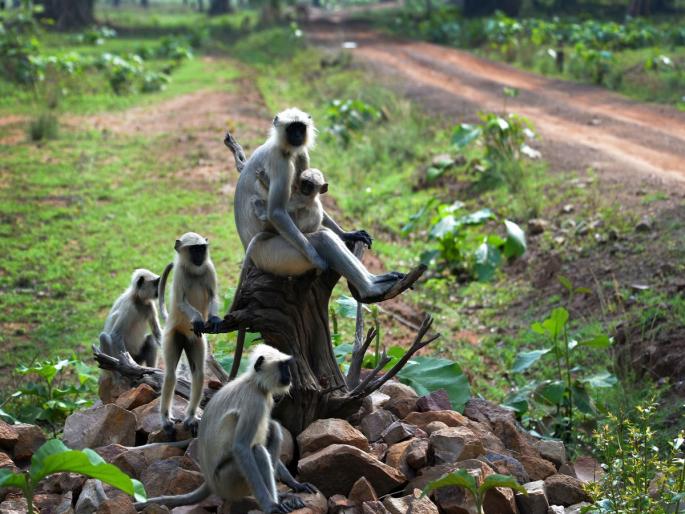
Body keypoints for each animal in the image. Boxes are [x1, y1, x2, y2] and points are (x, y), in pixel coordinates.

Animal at [135, 344, 317, 512]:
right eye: (282, 366)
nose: (289, 375)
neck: (254, 383)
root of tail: (209, 481)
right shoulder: (254, 402)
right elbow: (242, 447)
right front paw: (270, 506)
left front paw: (296, 484)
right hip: (229, 481)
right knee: (258, 451)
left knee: (274, 430)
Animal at [158, 232, 223, 435]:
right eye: (193, 249)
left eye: (201, 248)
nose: (199, 256)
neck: (194, 271)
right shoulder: (179, 273)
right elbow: (180, 301)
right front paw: (198, 320)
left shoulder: (209, 268)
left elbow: (213, 296)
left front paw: (214, 319)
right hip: (173, 334)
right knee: (170, 375)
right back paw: (165, 419)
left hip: (194, 341)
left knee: (199, 373)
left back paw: (191, 416)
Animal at [232, 108, 426, 304]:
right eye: (292, 128)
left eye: (300, 128)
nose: (297, 135)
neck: (283, 147)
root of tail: (252, 257)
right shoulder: (280, 160)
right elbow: (277, 211)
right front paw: (318, 260)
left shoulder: (301, 155)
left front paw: (347, 233)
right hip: (275, 256)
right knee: (322, 239)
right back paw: (371, 289)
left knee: (325, 234)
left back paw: (376, 280)